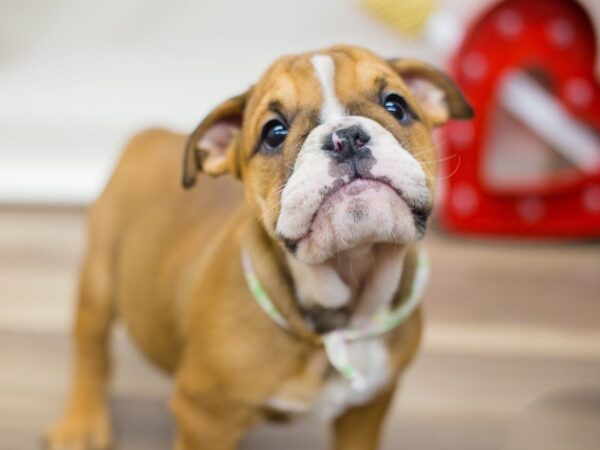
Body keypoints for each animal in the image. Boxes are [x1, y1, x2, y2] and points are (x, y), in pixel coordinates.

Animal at [47, 46, 472, 450]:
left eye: (395, 105)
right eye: (274, 132)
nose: (346, 138)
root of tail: (149, 134)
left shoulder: (367, 409)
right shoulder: (205, 418)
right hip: (99, 280)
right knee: (91, 353)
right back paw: (81, 423)